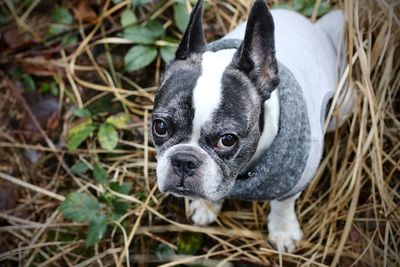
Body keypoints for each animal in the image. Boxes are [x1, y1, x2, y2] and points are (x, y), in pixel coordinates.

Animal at [152, 0, 354, 252]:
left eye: (227, 140)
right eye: (160, 127)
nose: (184, 160)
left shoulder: (295, 178)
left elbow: (282, 205)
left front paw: (283, 231)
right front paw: (207, 206)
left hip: (340, 110)